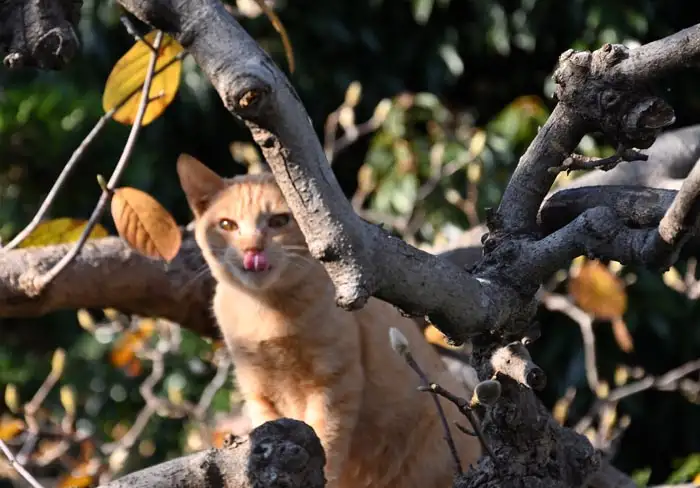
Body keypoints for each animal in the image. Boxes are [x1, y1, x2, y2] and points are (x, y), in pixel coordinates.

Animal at [176, 154, 482, 488]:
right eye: (227, 225)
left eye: (278, 221)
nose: (252, 248)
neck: (268, 310)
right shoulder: (258, 394)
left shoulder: (335, 385)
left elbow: (327, 445)